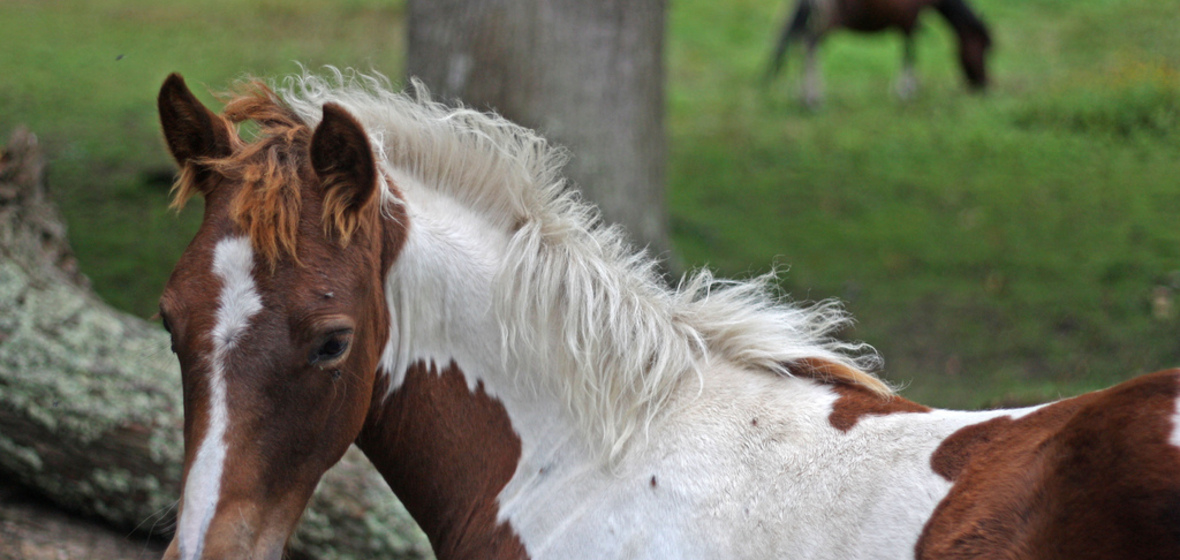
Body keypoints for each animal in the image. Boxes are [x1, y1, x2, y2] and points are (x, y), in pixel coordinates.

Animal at [764, 0, 995, 106]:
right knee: (810, 47)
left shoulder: (908, 23)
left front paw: (907, 88)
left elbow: (908, 52)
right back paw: (813, 99)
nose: (985, 85)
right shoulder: (910, 22)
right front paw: (906, 90)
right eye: (986, 46)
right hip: (826, 22)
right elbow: (910, 53)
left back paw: (802, 95)